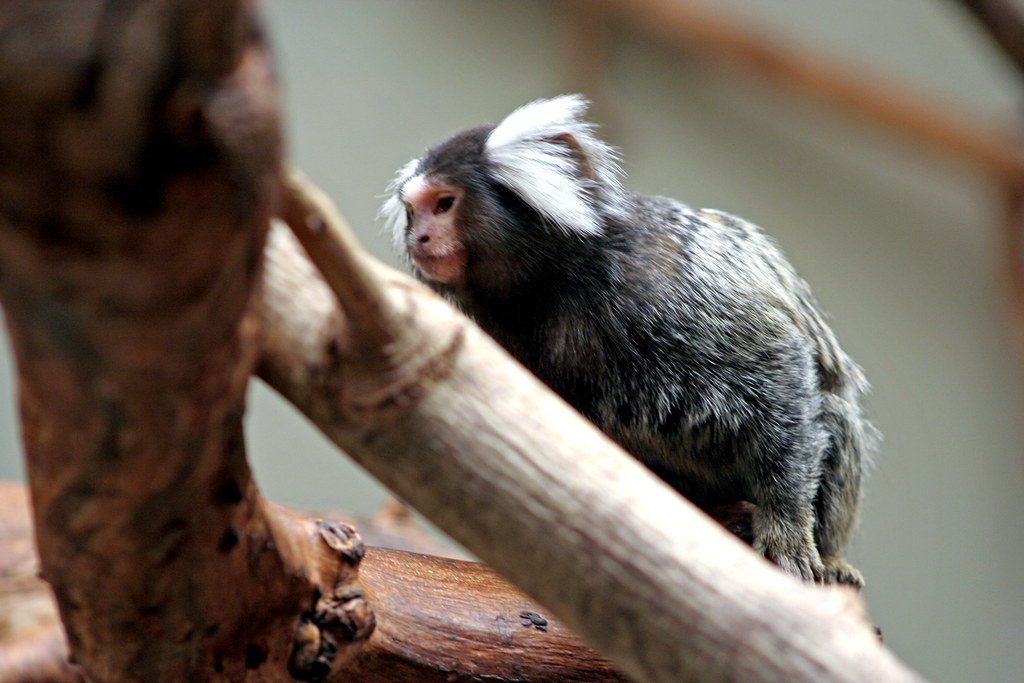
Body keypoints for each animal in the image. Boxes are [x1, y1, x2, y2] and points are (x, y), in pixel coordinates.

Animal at [381, 95, 877, 587]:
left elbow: (778, 371)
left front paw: (785, 527)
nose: (420, 237)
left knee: (832, 412)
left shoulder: (676, 288)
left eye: (444, 204)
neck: (556, 286)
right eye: (413, 212)